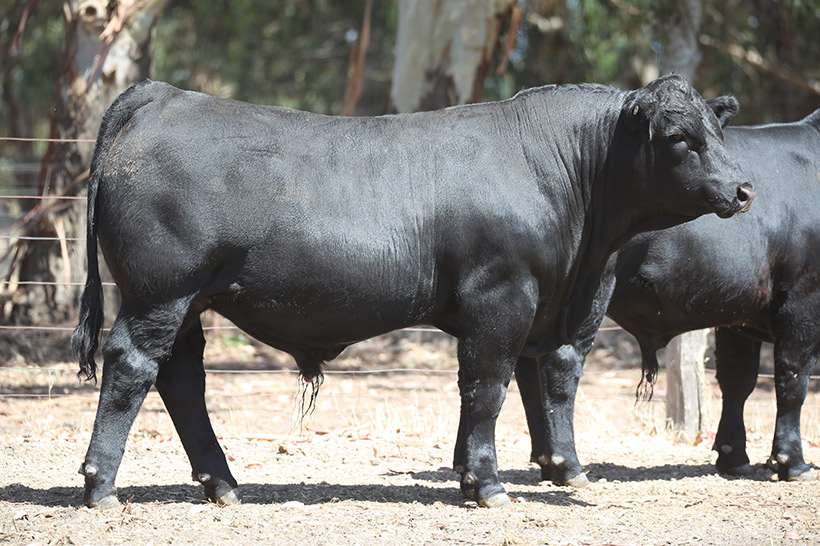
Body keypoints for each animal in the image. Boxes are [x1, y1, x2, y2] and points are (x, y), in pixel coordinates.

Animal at [71, 74, 753, 509]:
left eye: (718, 133)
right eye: (679, 137)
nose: (744, 189)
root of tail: (161, 95)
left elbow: (493, 390)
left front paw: (471, 476)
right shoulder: (502, 295)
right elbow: (488, 388)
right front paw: (489, 485)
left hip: (186, 302)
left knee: (181, 378)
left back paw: (223, 484)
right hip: (161, 291)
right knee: (133, 365)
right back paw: (101, 486)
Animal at [515, 110, 820, 487]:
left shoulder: (739, 312)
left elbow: (737, 380)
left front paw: (733, 456)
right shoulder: (803, 298)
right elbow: (792, 381)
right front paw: (792, 462)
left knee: (528, 370)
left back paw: (544, 459)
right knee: (560, 364)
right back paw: (566, 464)